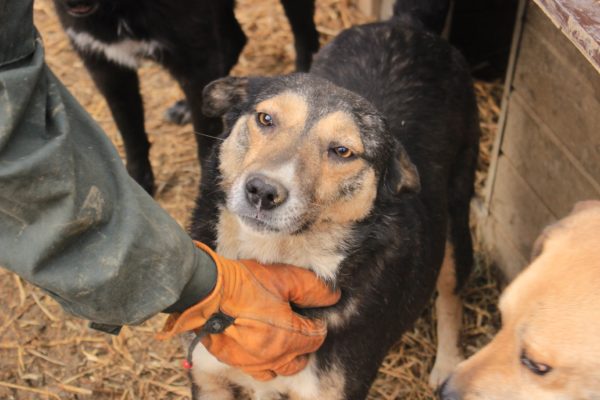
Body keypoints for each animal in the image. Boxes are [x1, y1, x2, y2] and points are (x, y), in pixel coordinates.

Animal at [52, 0, 318, 194]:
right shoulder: (104, 63)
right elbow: (129, 130)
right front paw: (137, 184)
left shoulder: (195, 57)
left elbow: (204, 139)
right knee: (235, 39)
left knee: (305, 33)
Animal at [188, 1, 478, 398]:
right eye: (265, 118)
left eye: (342, 151)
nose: (262, 191)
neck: (272, 260)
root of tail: (407, 24)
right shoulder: (209, 378)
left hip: (455, 222)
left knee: (451, 293)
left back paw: (448, 363)